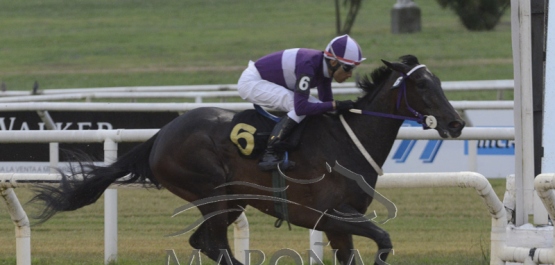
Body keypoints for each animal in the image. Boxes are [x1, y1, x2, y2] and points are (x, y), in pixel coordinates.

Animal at [30, 54, 464, 262]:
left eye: (440, 82)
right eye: (422, 86)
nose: (456, 123)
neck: (347, 140)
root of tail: (160, 135)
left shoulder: (342, 223)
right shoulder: (330, 214)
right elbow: (384, 239)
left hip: (231, 200)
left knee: (204, 242)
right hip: (212, 192)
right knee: (212, 243)